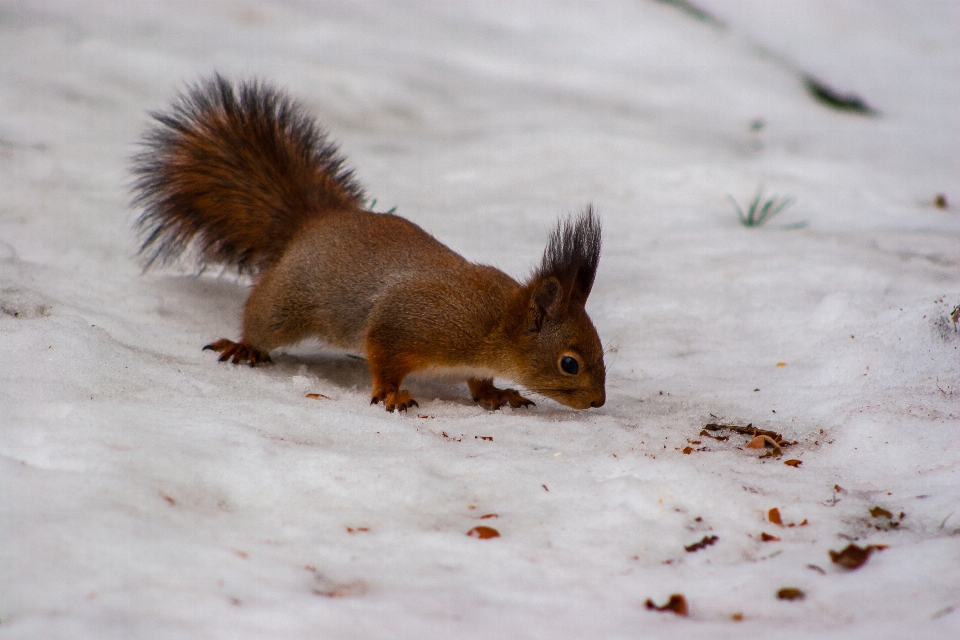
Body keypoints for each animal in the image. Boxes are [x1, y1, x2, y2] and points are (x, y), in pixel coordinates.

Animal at [131, 75, 604, 412]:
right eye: (569, 363)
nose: (598, 402)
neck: (496, 324)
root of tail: (315, 222)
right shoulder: (411, 323)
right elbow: (383, 353)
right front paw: (392, 393)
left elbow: (479, 381)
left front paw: (496, 394)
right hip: (289, 301)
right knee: (261, 318)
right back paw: (245, 345)